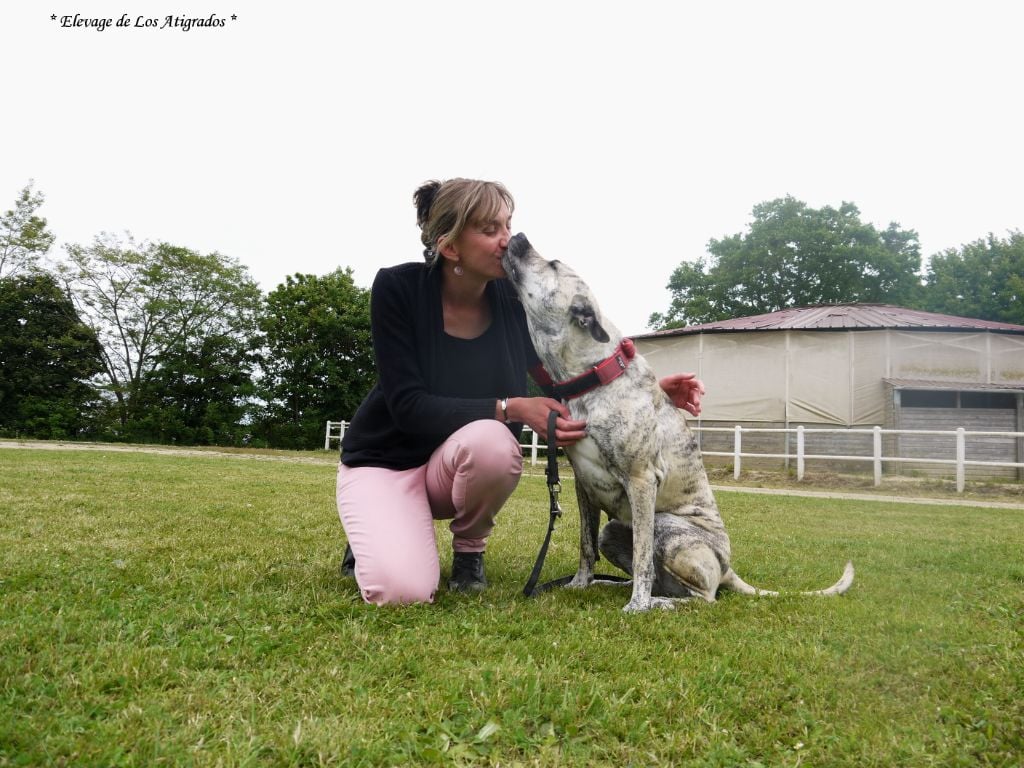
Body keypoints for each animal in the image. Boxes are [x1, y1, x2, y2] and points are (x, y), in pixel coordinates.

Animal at [499, 234, 851, 614]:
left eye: (552, 264)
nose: (518, 237)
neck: (593, 378)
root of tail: (728, 569)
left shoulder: (641, 480)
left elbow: (642, 557)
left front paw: (637, 607)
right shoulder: (582, 484)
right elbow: (586, 544)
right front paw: (580, 583)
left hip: (668, 527)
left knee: (702, 596)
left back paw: (658, 602)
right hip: (615, 530)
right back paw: (620, 586)